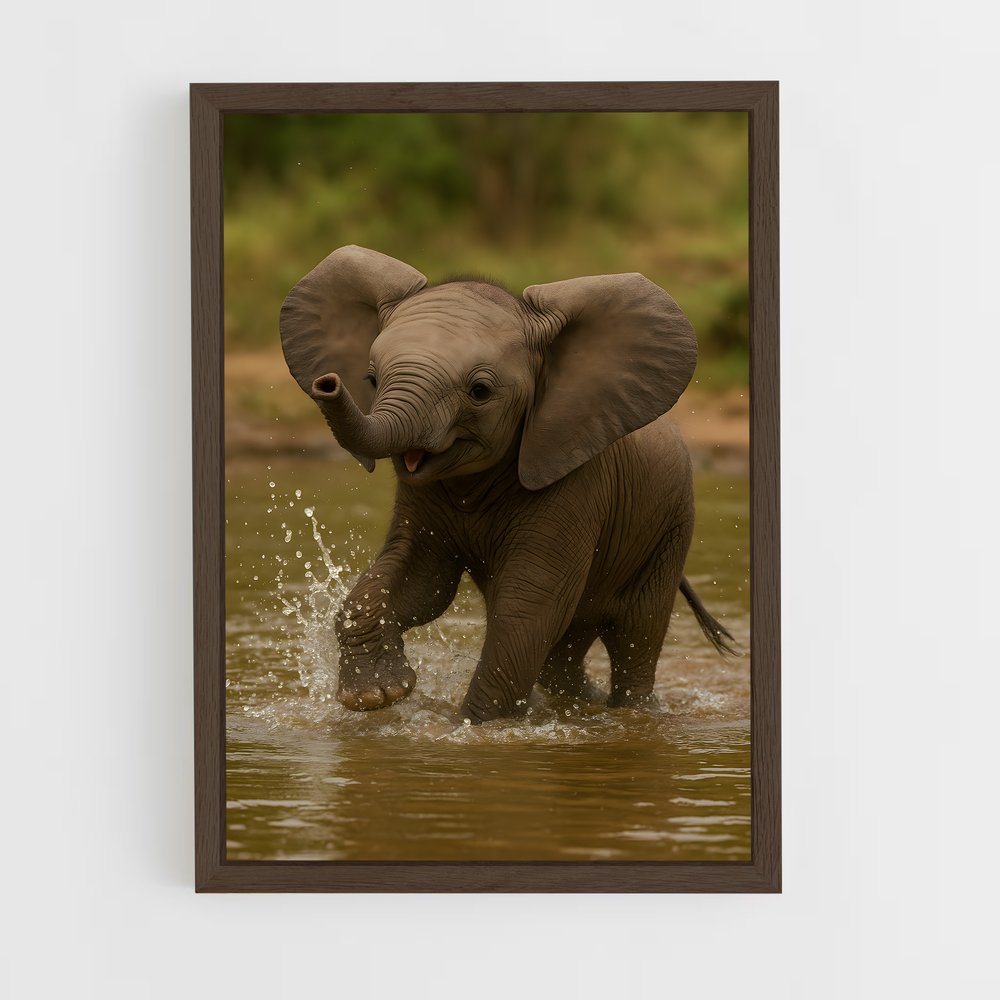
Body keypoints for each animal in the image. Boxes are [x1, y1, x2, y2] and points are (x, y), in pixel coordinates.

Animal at [280, 245, 735, 724]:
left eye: (480, 391)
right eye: (370, 379)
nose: (327, 384)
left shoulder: (578, 480)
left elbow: (528, 605)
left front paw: (477, 727)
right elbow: (420, 580)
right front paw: (378, 696)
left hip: (669, 531)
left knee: (636, 635)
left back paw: (635, 712)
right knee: (566, 650)